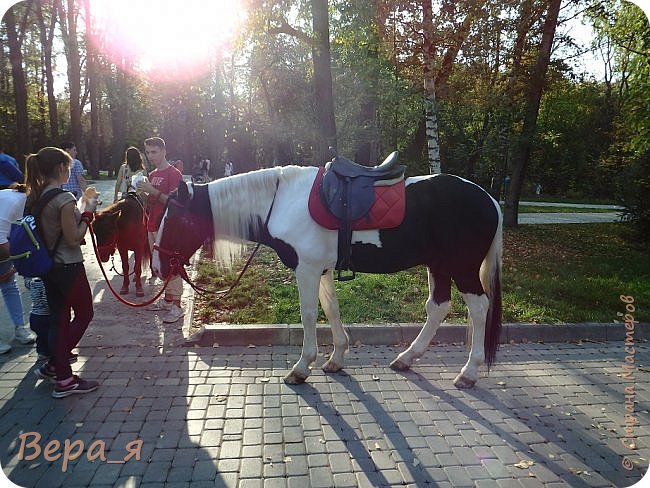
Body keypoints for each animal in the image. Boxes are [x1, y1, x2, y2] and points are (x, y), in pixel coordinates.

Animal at [151, 165, 502, 388]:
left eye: (175, 218)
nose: (156, 266)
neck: (281, 201)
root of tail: (490, 199)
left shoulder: (306, 269)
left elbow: (308, 315)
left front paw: (301, 367)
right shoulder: (321, 269)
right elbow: (331, 309)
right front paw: (336, 358)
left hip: (462, 268)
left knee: (479, 308)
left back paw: (469, 372)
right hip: (439, 266)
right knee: (438, 307)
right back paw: (407, 357)